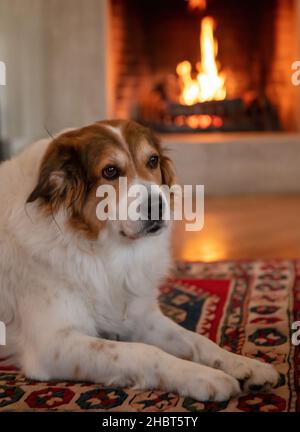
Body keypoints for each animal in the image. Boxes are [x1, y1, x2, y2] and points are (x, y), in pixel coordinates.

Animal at [0, 119, 278, 402]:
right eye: (110, 171)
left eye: (152, 160)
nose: (158, 206)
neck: (101, 251)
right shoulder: (53, 344)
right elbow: (143, 351)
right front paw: (205, 376)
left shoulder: (141, 315)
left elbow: (196, 340)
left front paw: (241, 363)